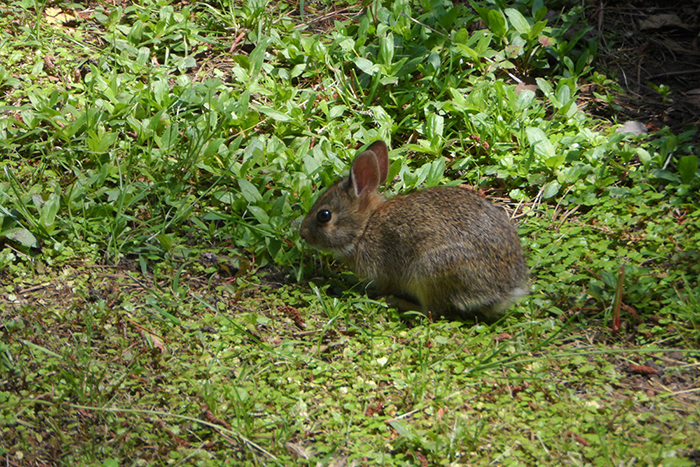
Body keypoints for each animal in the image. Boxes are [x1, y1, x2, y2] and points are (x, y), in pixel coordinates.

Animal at [298, 139, 528, 322]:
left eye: (324, 215)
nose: (303, 234)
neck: (365, 227)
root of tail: (504, 290)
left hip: (430, 271)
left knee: (432, 312)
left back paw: (397, 303)